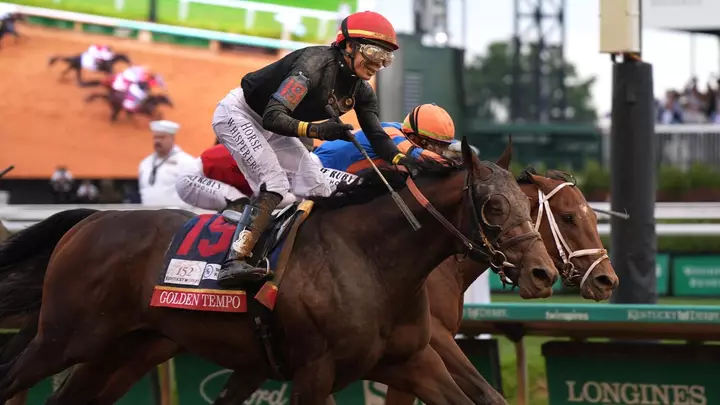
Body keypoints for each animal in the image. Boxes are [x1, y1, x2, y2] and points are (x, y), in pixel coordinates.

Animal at [0, 139, 558, 405]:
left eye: (526, 206)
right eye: (493, 207)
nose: (543, 274)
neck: (373, 261)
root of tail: (90, 220)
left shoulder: (413, 360)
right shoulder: (314, 372)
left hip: (124, 349)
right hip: (64, 337)